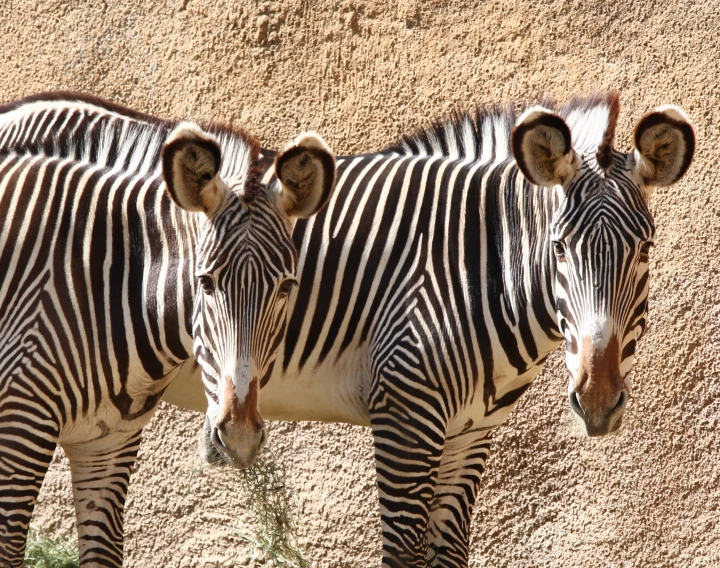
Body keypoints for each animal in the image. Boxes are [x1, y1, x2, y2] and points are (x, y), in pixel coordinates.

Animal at [0, 93, 336, 568]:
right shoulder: (20, 423)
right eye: (206, 282)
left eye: (287, 286)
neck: (111, 280)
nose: (240, 437)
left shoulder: (107, 445)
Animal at [166, 94, 696, 568]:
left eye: (644, 249)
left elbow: (452, 553)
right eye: (560, 249)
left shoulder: (470, 431)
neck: (475, 265)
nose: (598, 399)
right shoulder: (405, 413)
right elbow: (404, 552)